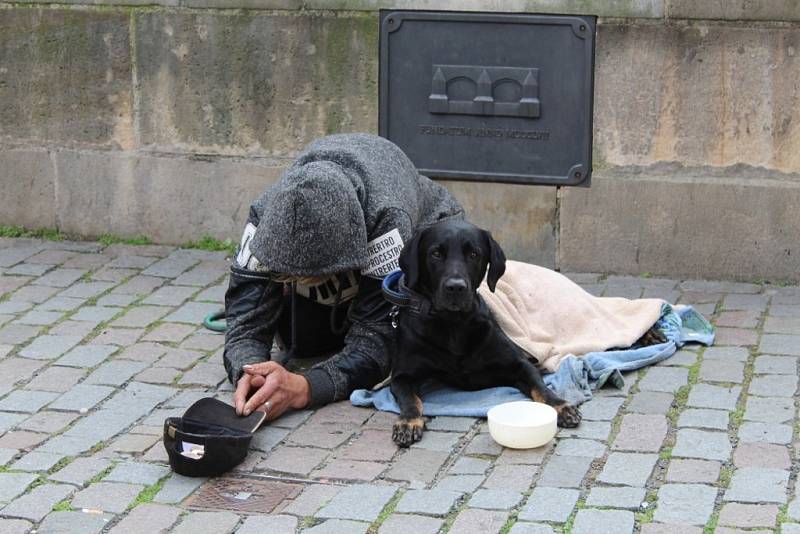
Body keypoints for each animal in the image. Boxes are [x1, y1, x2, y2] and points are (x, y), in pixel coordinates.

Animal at [390, 221, 580, 448]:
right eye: (435, 253)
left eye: (473, 254)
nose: (456, 287)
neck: (453, 324)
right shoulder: (402, 376)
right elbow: (410, 399)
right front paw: (408, 421)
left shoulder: (519, 364)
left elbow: (540, 386)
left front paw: (559, 405)